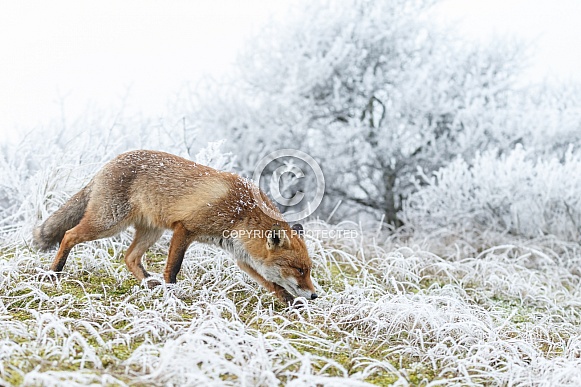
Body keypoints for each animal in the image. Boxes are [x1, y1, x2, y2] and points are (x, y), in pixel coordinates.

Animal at [34, 150, 318, 304]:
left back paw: (150, 284)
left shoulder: (242, 257)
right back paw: (54, 272)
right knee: (69, 235)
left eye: (308, 270)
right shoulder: (185, 228)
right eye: (299, 270)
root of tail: (107, 164)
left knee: (130, 258)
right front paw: (172, 296)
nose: (315, 295)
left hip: (151, 231)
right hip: (107, 223)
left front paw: (293, 305)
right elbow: (173, 268)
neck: (241, 213)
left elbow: (274, 285)